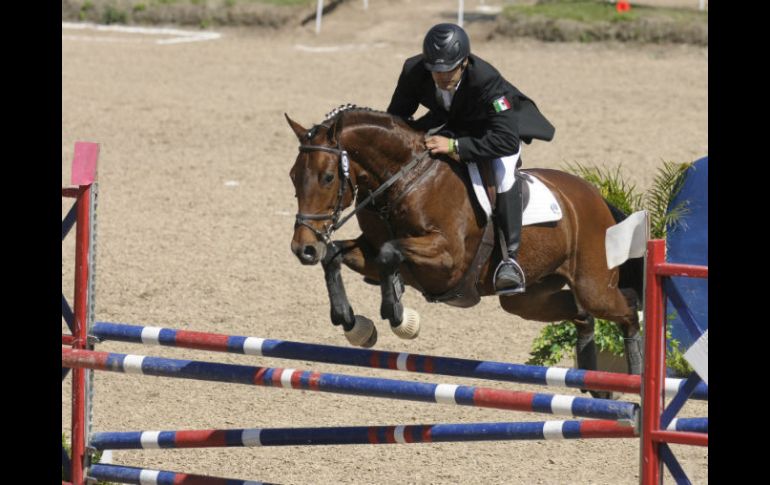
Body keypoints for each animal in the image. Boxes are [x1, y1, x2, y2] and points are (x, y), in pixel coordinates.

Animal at [284, 105, 640, 390]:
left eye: (328, 177)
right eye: (292, 176)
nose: (303, 249)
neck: (405, 181)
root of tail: (596, 198)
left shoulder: (446, 259)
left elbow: (390, 254)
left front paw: (399, 316)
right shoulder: (372, 252)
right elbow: (336, 256)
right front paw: (352, 323)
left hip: (593, 285)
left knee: (627, 307)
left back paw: (635, 376)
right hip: (528, 299)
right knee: (582, 315)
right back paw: (596, 385)